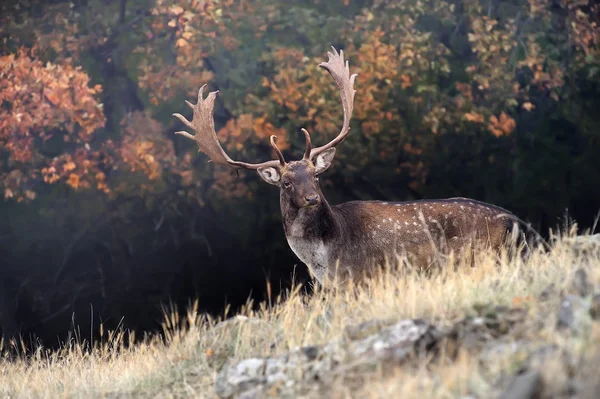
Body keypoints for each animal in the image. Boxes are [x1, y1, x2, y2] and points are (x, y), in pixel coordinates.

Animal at [171, 47, 516, 286]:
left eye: (316, 176)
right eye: (286, 182)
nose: (311, 198)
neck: (325, 259)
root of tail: (513, 220)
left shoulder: (363, 277)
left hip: (479, 256)